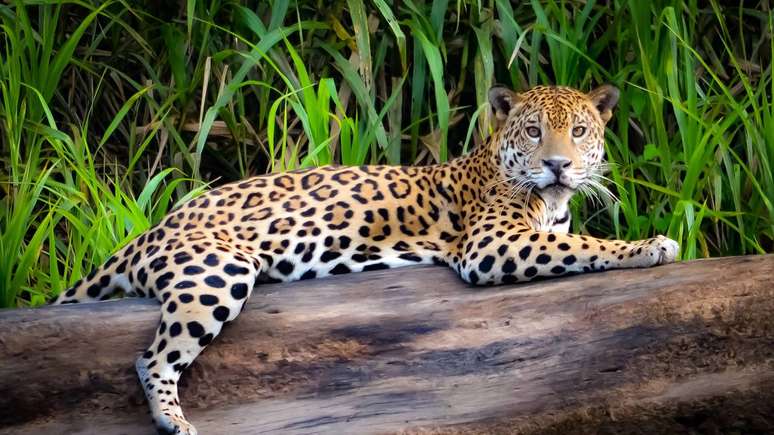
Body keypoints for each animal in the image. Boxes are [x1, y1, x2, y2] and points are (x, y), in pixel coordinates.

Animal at [53, 83, 678, 434]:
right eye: (532, 132)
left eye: (580, 131)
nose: (557, 165)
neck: (549, 201)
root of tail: (153, 228)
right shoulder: (491, 245)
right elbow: (585, 246)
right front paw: (652, 245)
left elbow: (577, 240)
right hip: (217, 270)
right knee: (152, 359)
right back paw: (175, 423)